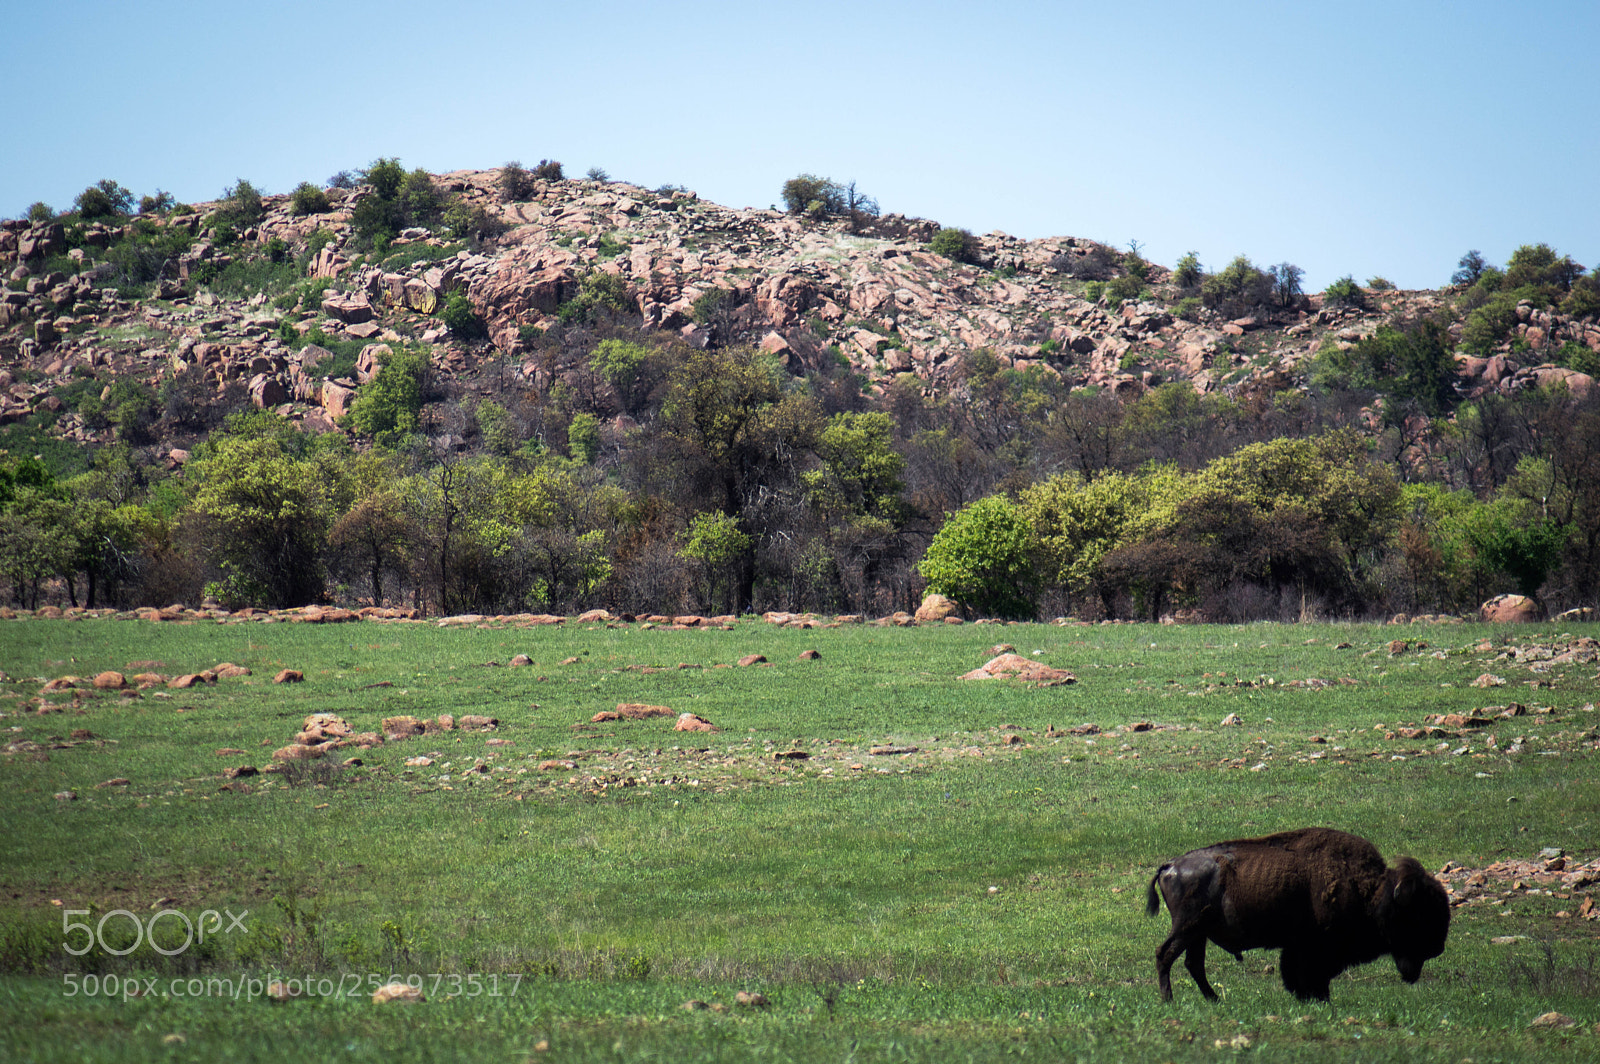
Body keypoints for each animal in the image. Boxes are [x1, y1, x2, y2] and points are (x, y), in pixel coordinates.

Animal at [1145, 827, 1450, 1002]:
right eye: (1416, 914)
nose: (1437, 948)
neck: (1371, 890)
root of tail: (1170, 865)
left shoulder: (1298, 947)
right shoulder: (1315, 948)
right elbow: (1310, 975)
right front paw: (1317, 998)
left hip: (1198, 933)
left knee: (1192, 963)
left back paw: (1214, 1000)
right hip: (1187, 927)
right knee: (1165, 955)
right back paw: (1170, 1000)